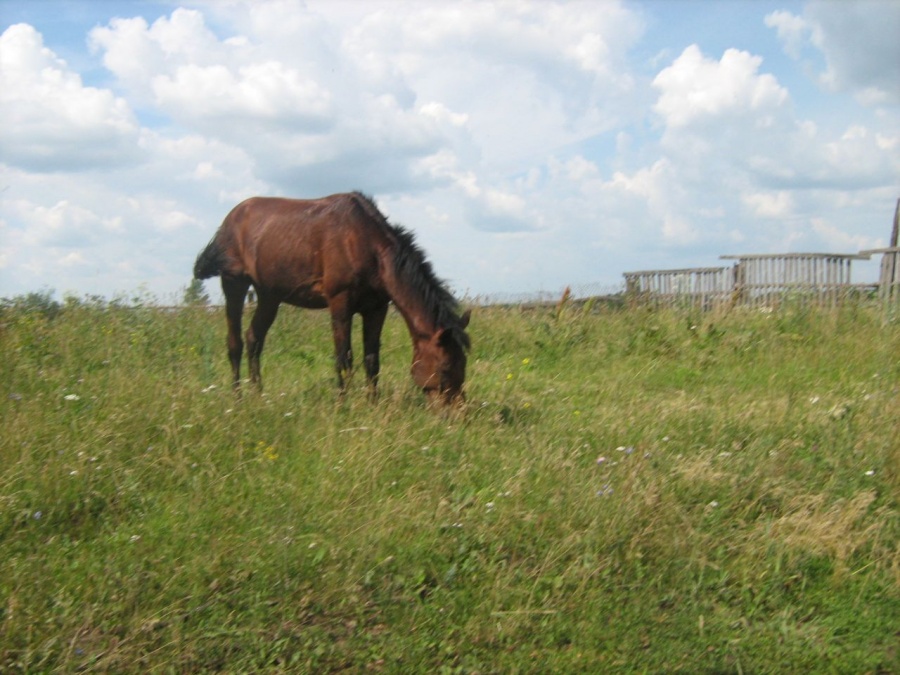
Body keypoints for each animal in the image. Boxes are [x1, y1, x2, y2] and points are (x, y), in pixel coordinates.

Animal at [192, 190, 472, 404]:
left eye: (463, 364)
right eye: (445, 367)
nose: (457, 413)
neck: (366, 244)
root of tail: (230, 220)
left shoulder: (377, 308)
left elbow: (372, 360)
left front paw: (373, 403)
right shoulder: (340, 303)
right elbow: (343, 357)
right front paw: (343, 404)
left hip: (269, 295)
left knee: (254, 339)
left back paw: (258, 394)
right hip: (234, 284)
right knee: (235, 342)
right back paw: (238, 397)